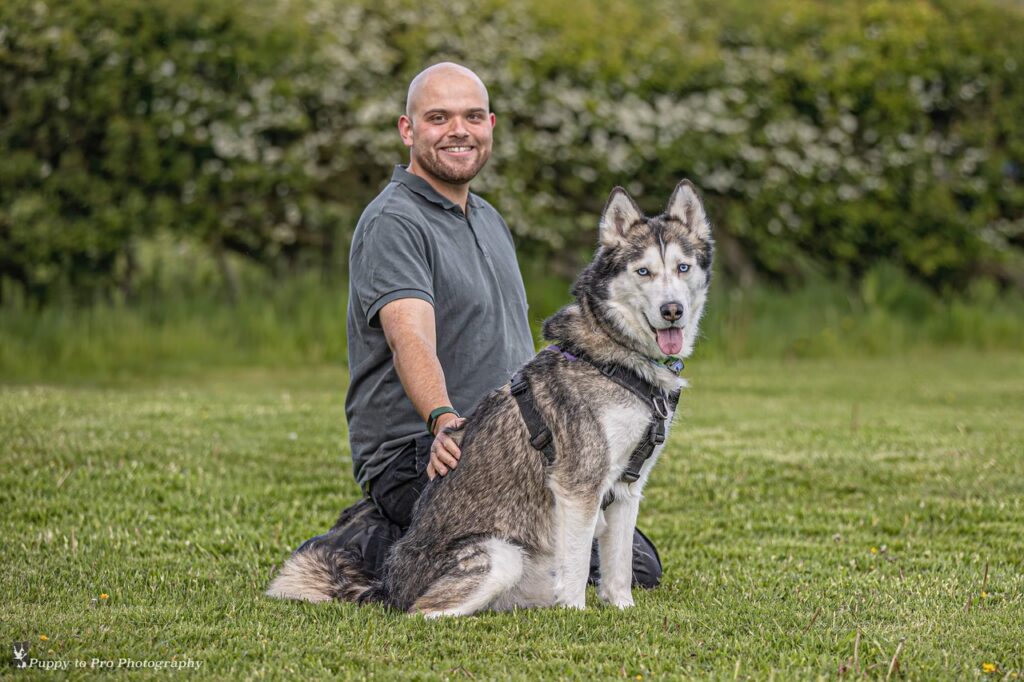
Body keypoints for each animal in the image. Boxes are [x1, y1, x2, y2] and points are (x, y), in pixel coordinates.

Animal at [268, 178, 712, 614]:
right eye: (644, 272)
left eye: (682, 268)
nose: (672, 310)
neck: (617, 358)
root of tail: (388, 586)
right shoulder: (579, 486)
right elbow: (576, 567)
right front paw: (576, 615)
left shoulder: (625, 488)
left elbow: (619, 567)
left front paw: (622, 610)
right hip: (500, 556)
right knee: (421, 613)